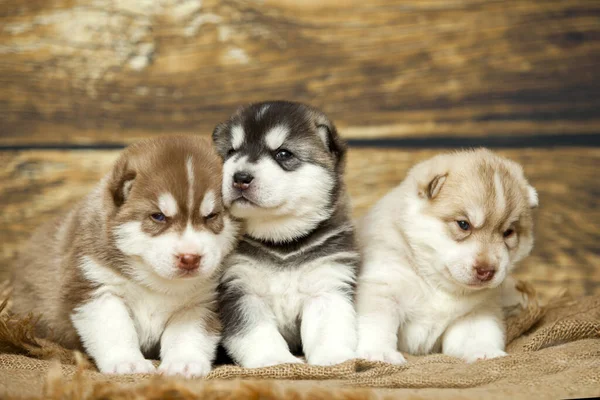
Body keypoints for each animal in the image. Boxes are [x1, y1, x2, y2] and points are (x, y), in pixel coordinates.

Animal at [9, 136, 239, 376]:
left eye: (211, 216)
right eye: (158, 216)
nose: (190, 258)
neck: (154, 281)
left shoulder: (200, 302)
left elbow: (187, 335)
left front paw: (184, 363)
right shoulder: (96, 288)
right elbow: (116, 330)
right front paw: (128, 363)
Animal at [212, 101, 358, 368]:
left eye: (283, 154)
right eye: (230, 152)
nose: (240, 177)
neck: (281, 243)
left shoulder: (328, 282)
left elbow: (329, 327)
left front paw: (333, 358)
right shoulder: (240, 288)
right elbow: (256, 332)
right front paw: (273, 360)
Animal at [354, 148, 536, 364]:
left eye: (508, 232)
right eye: (463, 224)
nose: (486, 271)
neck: (437, 284)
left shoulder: (475, 311)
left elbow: (478, 334)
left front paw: (485, 352)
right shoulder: (383, 287)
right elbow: (376, 325)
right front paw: (379, 354)